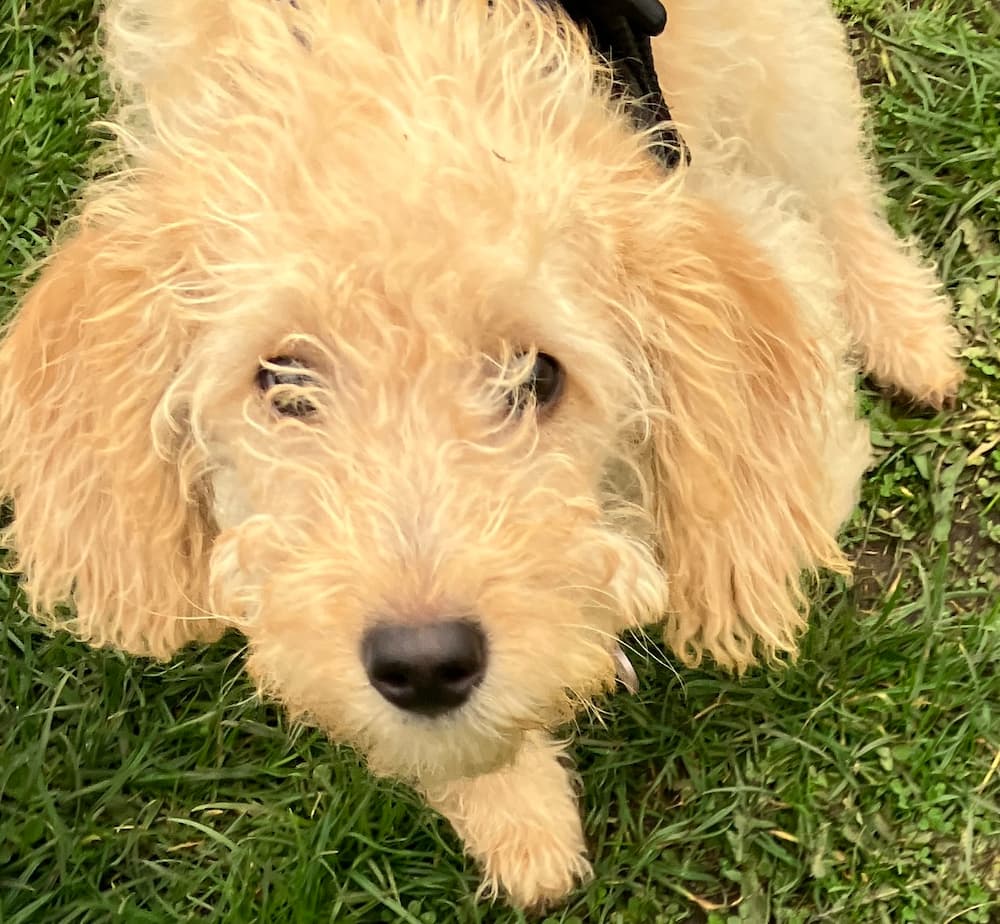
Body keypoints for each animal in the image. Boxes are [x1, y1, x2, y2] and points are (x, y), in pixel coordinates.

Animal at [1, 0, 968, 908]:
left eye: (536, 375)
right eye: (281, 378)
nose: (424, 664)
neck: (394, 53)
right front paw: (521, 822)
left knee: (834, 173)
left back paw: (910, 331)